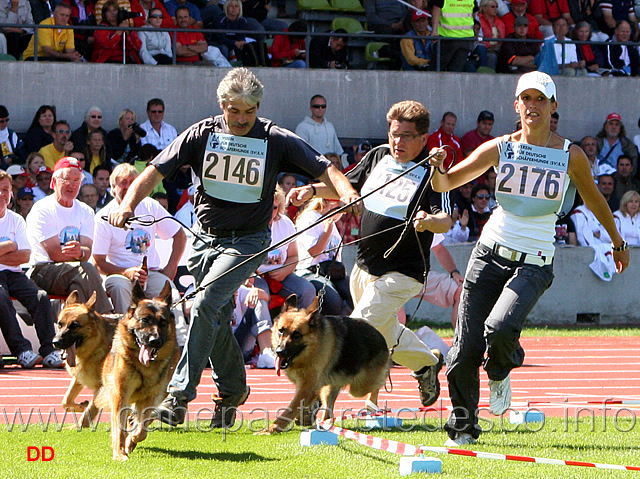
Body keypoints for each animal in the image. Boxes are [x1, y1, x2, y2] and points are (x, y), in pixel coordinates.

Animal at [53, 288, 117, 428]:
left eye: (74, 325)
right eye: (60, 324)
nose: (55, 342)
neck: (97, 344)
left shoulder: (102, 387)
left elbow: (90, 410)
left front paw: (78, 427)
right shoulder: (78, 378)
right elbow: (65, 401)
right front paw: (82, 405)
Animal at [96, 282, 179, 462]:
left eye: (163, 322)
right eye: (144, 320)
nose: (155, 340)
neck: (142, 366)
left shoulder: (148, 399)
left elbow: (141, 430)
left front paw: (131, 440)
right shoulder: (120, 395)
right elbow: (119, 428)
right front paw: (119, 453)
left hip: (157, 397)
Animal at [264, 296, 390, 436]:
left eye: (297, 335)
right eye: (281, 331)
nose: (279, 352)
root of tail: (380, 336)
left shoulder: (306, 387)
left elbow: (290, 409)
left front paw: (272, 428)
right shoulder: (307, 387)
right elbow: (303, 404)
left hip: (359, 388)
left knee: (375, 387)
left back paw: (372, 404)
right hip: (331, 388)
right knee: (328, 411)